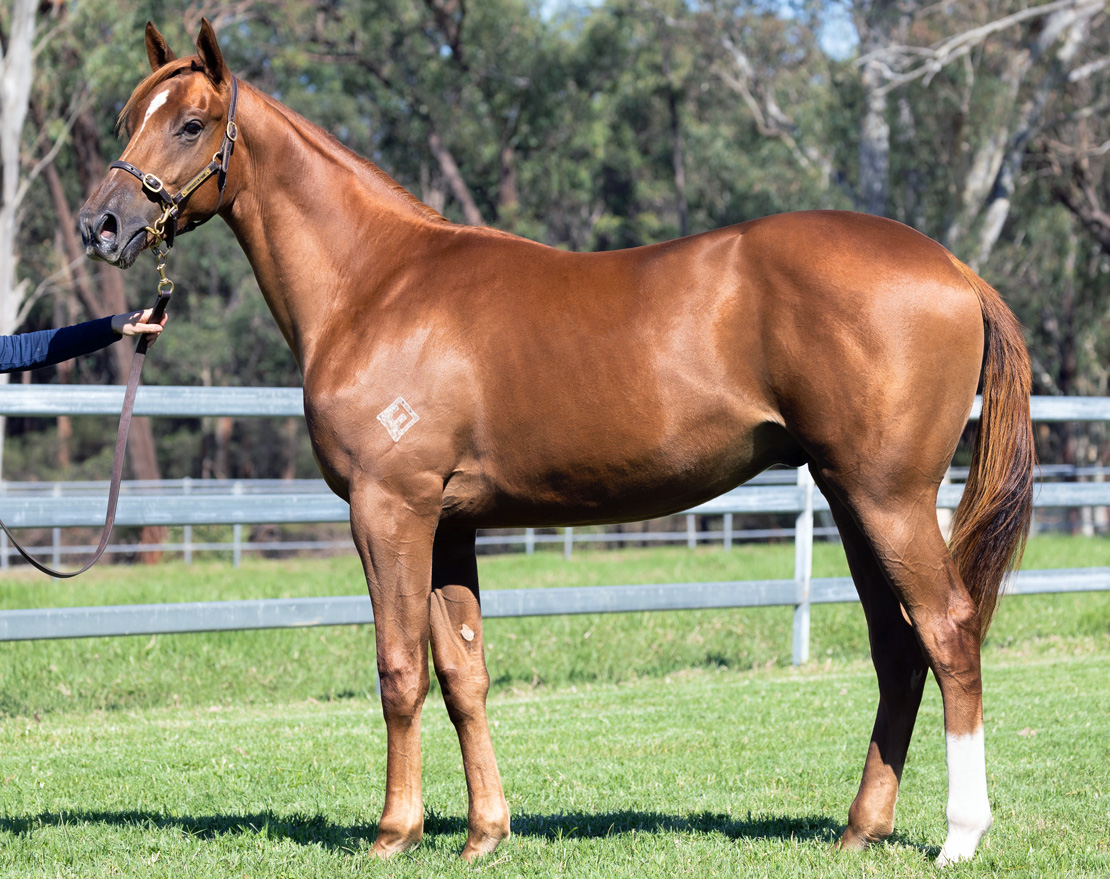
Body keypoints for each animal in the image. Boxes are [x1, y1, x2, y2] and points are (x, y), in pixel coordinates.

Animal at [78, 18, 1030, 865]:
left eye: (191, 122)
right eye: (129, 119)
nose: (101, 225)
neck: (377, 283)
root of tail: (954, 270)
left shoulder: (390, 511)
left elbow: (398, 670)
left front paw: (395, 831)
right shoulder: (448, 525)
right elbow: (463, 675)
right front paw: (484, 832)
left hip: (887, 497)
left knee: (948, 633)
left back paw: (960, 835)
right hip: (848, 496)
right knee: (898, 649)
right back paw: (861, 828)